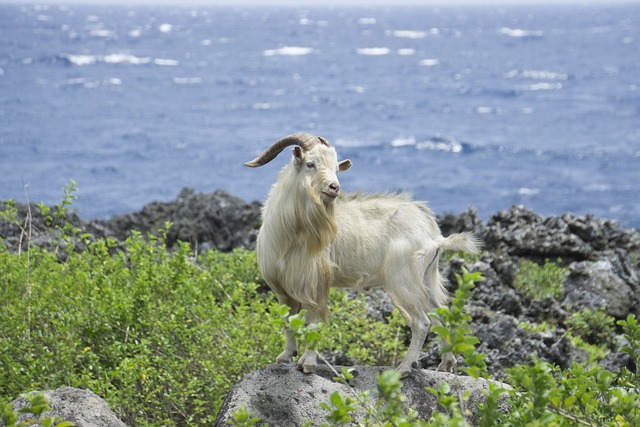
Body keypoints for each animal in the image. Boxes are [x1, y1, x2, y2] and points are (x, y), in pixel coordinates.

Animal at [245, 133, 480, 377]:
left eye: (336, 169)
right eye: (311, 164)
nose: (334, 188)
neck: (291, 232)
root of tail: (434, 235)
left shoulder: (315, 284)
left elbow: (313, 321)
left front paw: (307, 363)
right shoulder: (282, 288)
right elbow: (289, 321)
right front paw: (285, 356)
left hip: (403, 281)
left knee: (422, 322)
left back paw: (404, 368)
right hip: (425, 278)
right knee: (440, 316)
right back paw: (446, 364)